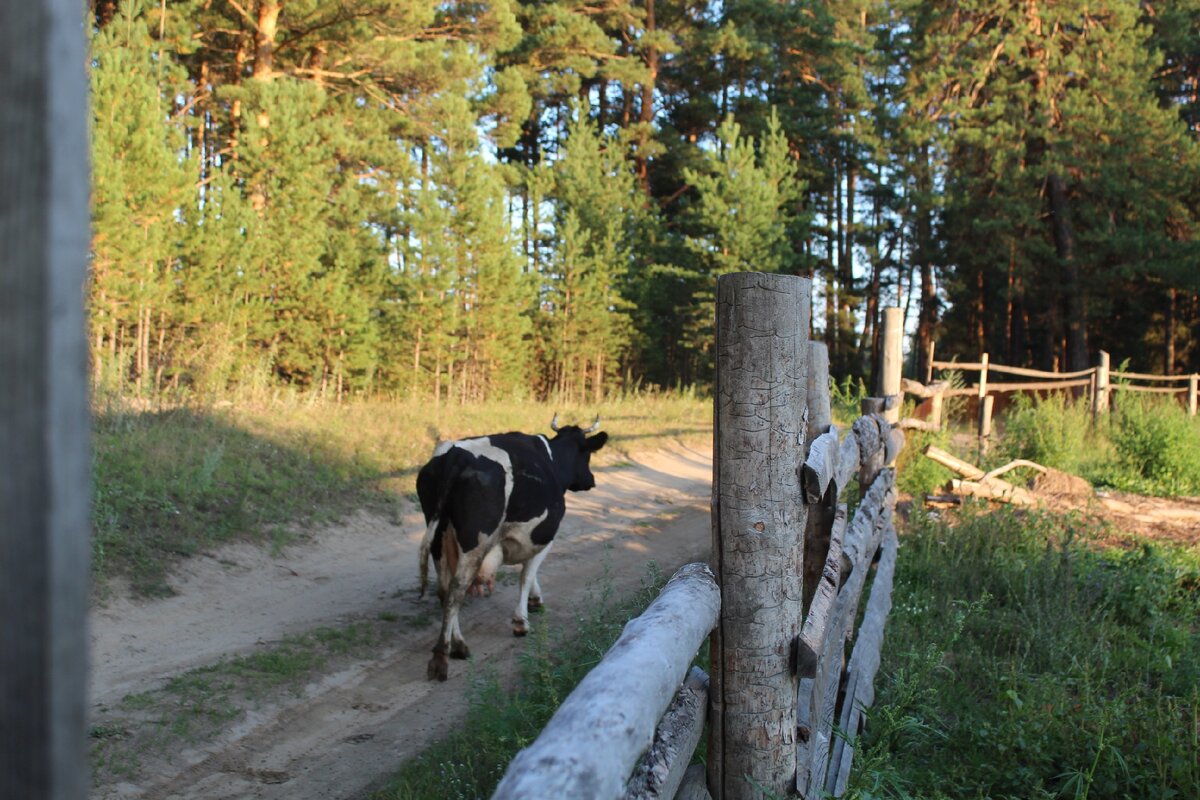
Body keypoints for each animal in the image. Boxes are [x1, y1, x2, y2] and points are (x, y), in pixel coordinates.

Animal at [420, 412, 609, 681]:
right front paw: (521, 621)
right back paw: (442, 657)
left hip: (439, 536)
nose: (590, 480)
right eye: (587, 453)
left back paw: (458, 644)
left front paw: (535, 600)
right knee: (456, 589)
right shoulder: (545, 535)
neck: (552, 459)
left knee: (445, 589)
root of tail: (454, 456)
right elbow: (527, 574)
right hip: (473, 543)